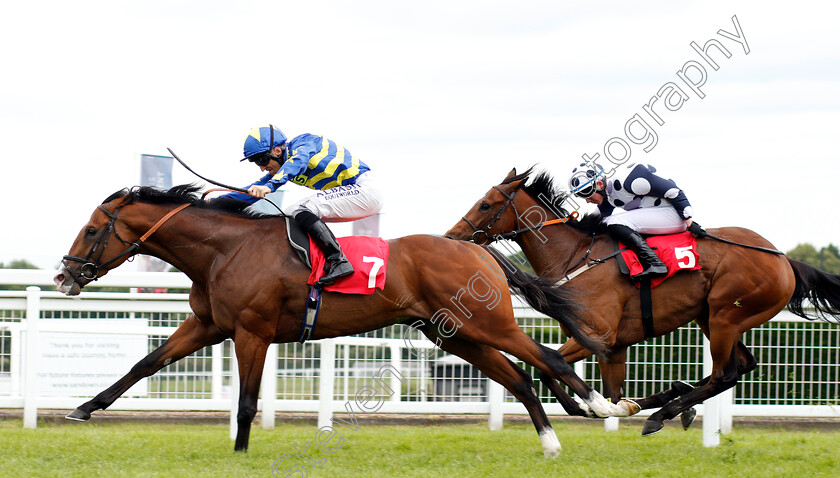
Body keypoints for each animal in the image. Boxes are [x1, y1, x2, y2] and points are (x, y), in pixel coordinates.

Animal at [54, 183, 632, 456]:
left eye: (91, 230)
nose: (64, 275)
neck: (225, 248)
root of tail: (478, 249)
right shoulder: (208, 325)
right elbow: (145, 365)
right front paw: (82, 409)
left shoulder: (252, 331)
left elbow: (246, 402)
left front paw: (240, 452)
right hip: (457, 335)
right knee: (518, 378)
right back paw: (551, 442)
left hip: (488, 325)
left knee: (549, 356)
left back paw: (605, 406)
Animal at [446, 167, 840, 434]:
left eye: (486, 204)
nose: (451, 236)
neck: (575, 255)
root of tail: (784, 259)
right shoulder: (613, 346)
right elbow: (605, 392)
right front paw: (608, 406)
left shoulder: (599, 336)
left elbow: (555, 368)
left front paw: (611, 408)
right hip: (712, 318)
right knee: (741, 366)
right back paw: (678, 399)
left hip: (726, 316)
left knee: (723, 375)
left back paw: (662, 415)